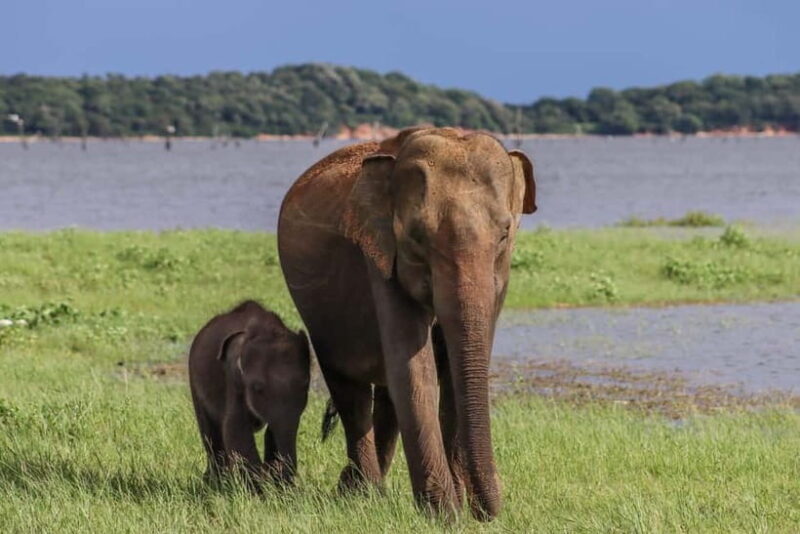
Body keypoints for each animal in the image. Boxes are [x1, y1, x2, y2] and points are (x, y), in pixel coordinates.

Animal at [188, 300, 311, 487]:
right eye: (256, 388)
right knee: (210, 433)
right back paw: (216, 484)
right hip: (195, 383)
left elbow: (273, 432)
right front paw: (260, 490)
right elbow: (235, 430)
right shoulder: (233, 382)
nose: (287, 483)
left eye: (305, 385)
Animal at [278, 127, 536, 520]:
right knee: (350, 392)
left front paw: (458, 507)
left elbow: (454, 372)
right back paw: (361, 495)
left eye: (505, 233)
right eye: (416, 238)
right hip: (319, 316)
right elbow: (416, 368)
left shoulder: (500, 279)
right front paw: (445, 515)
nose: (487, 511)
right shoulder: (379, 255)